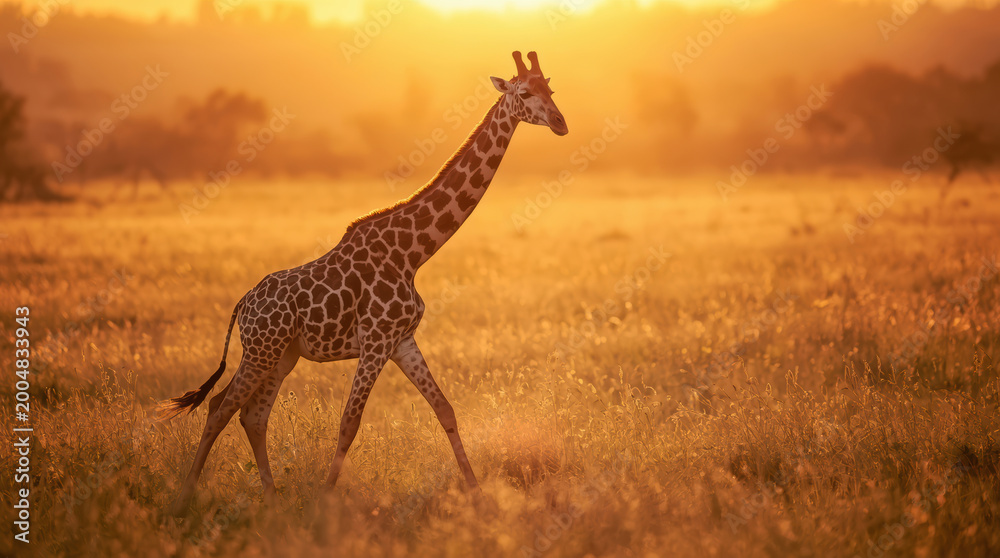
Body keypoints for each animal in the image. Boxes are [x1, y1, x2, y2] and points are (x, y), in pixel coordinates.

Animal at [160, 51, 568, 515]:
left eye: (551, 88)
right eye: (525, 93)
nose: (560, 122)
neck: (413, 252)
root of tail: (242, 305)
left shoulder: (401, 340)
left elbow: (445, 410)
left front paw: (478, 495)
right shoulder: (374, 342)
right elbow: (349, 422)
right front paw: (324, 503)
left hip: (283, 355)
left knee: (253, 415)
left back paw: (272, 499)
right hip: (262, 351)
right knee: (219, 408)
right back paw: (185, 496)